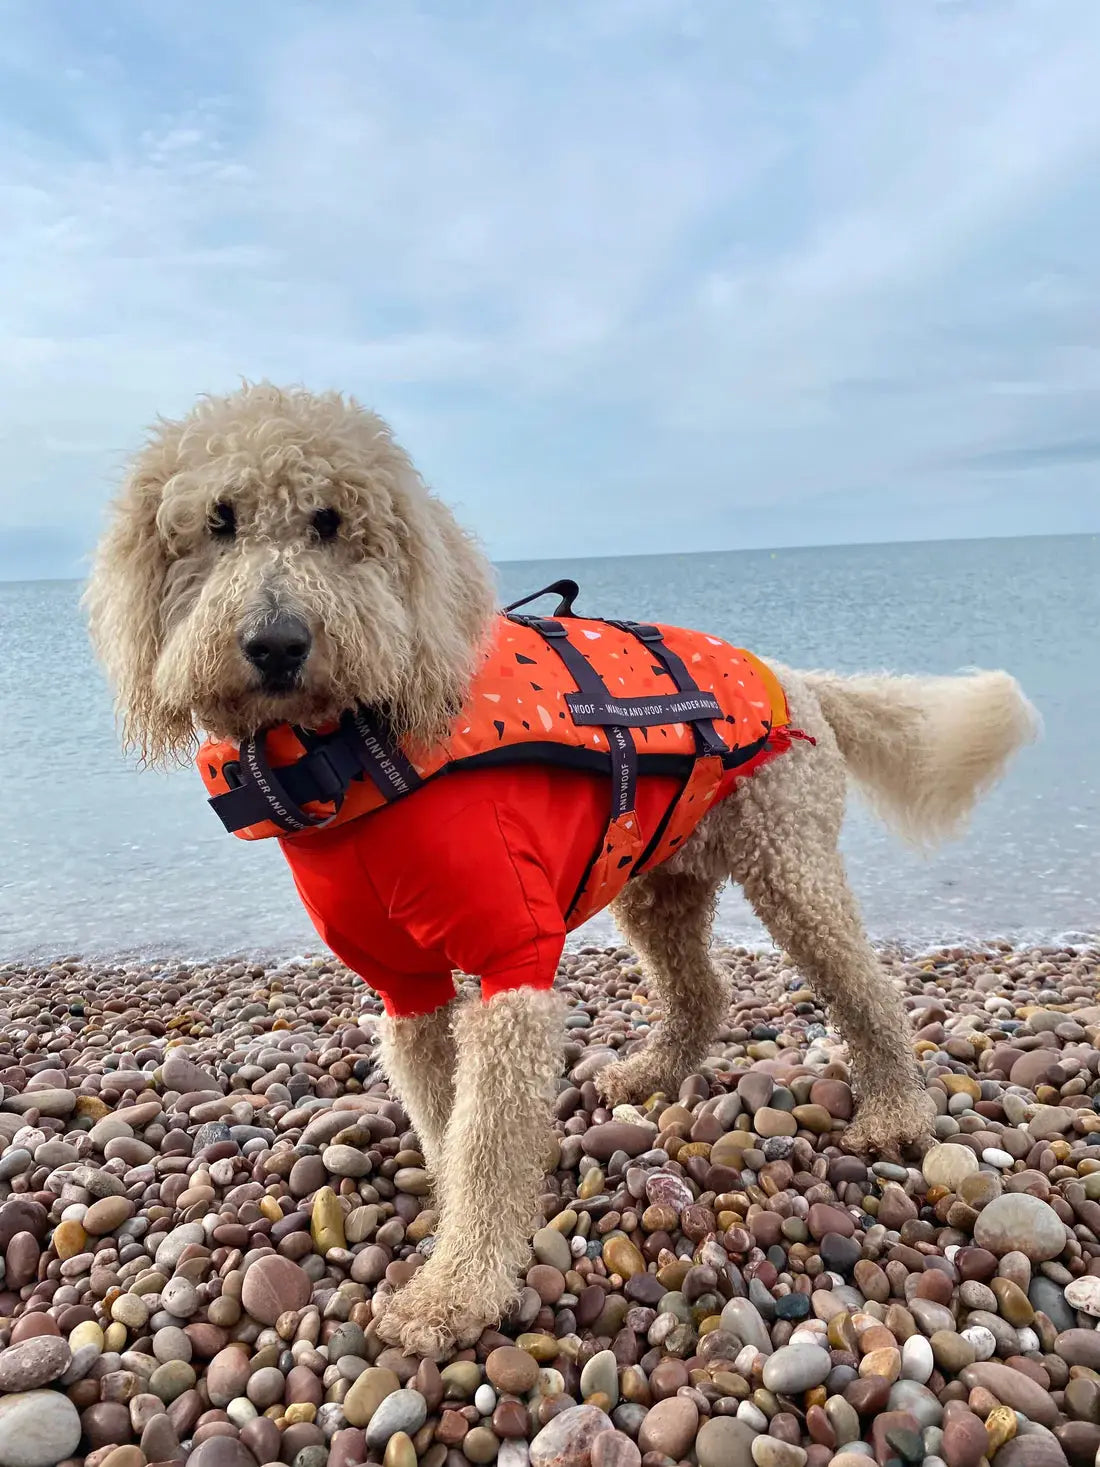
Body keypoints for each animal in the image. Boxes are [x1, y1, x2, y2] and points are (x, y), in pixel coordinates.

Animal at [88, 384, 1044, 1355]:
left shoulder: (511, 964)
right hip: (658, 884)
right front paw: (453, 1232)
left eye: (329, 521)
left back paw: (894, 1110)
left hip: (791, 867)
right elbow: (446, 1123)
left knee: (865, 987)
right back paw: (651, 1072)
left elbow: (487, 1140)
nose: (276, 640)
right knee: (701, 991)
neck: (345, 756)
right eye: (217, 521)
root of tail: (795, 677)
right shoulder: (405, 986)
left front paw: (456, 1293)